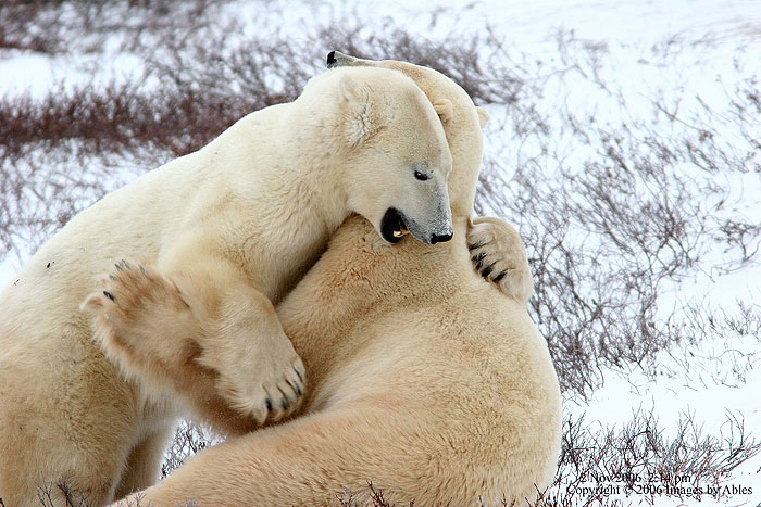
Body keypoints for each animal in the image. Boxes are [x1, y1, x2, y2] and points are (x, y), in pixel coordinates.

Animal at [0, 65, 458, 507]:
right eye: (421, 172)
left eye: (446, 168)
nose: (443, 233)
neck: (301, 155)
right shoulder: (262, 189)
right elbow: (211, 257)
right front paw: (279, 385)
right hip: (65, 378)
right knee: (60, 469)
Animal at [97, 54, 561, 506]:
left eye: (393, 64)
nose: (334, 55)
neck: (422, 240)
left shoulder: (366, 286)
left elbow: (279, 384)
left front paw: (135, 305)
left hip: (334, 458)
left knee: (223, 476)